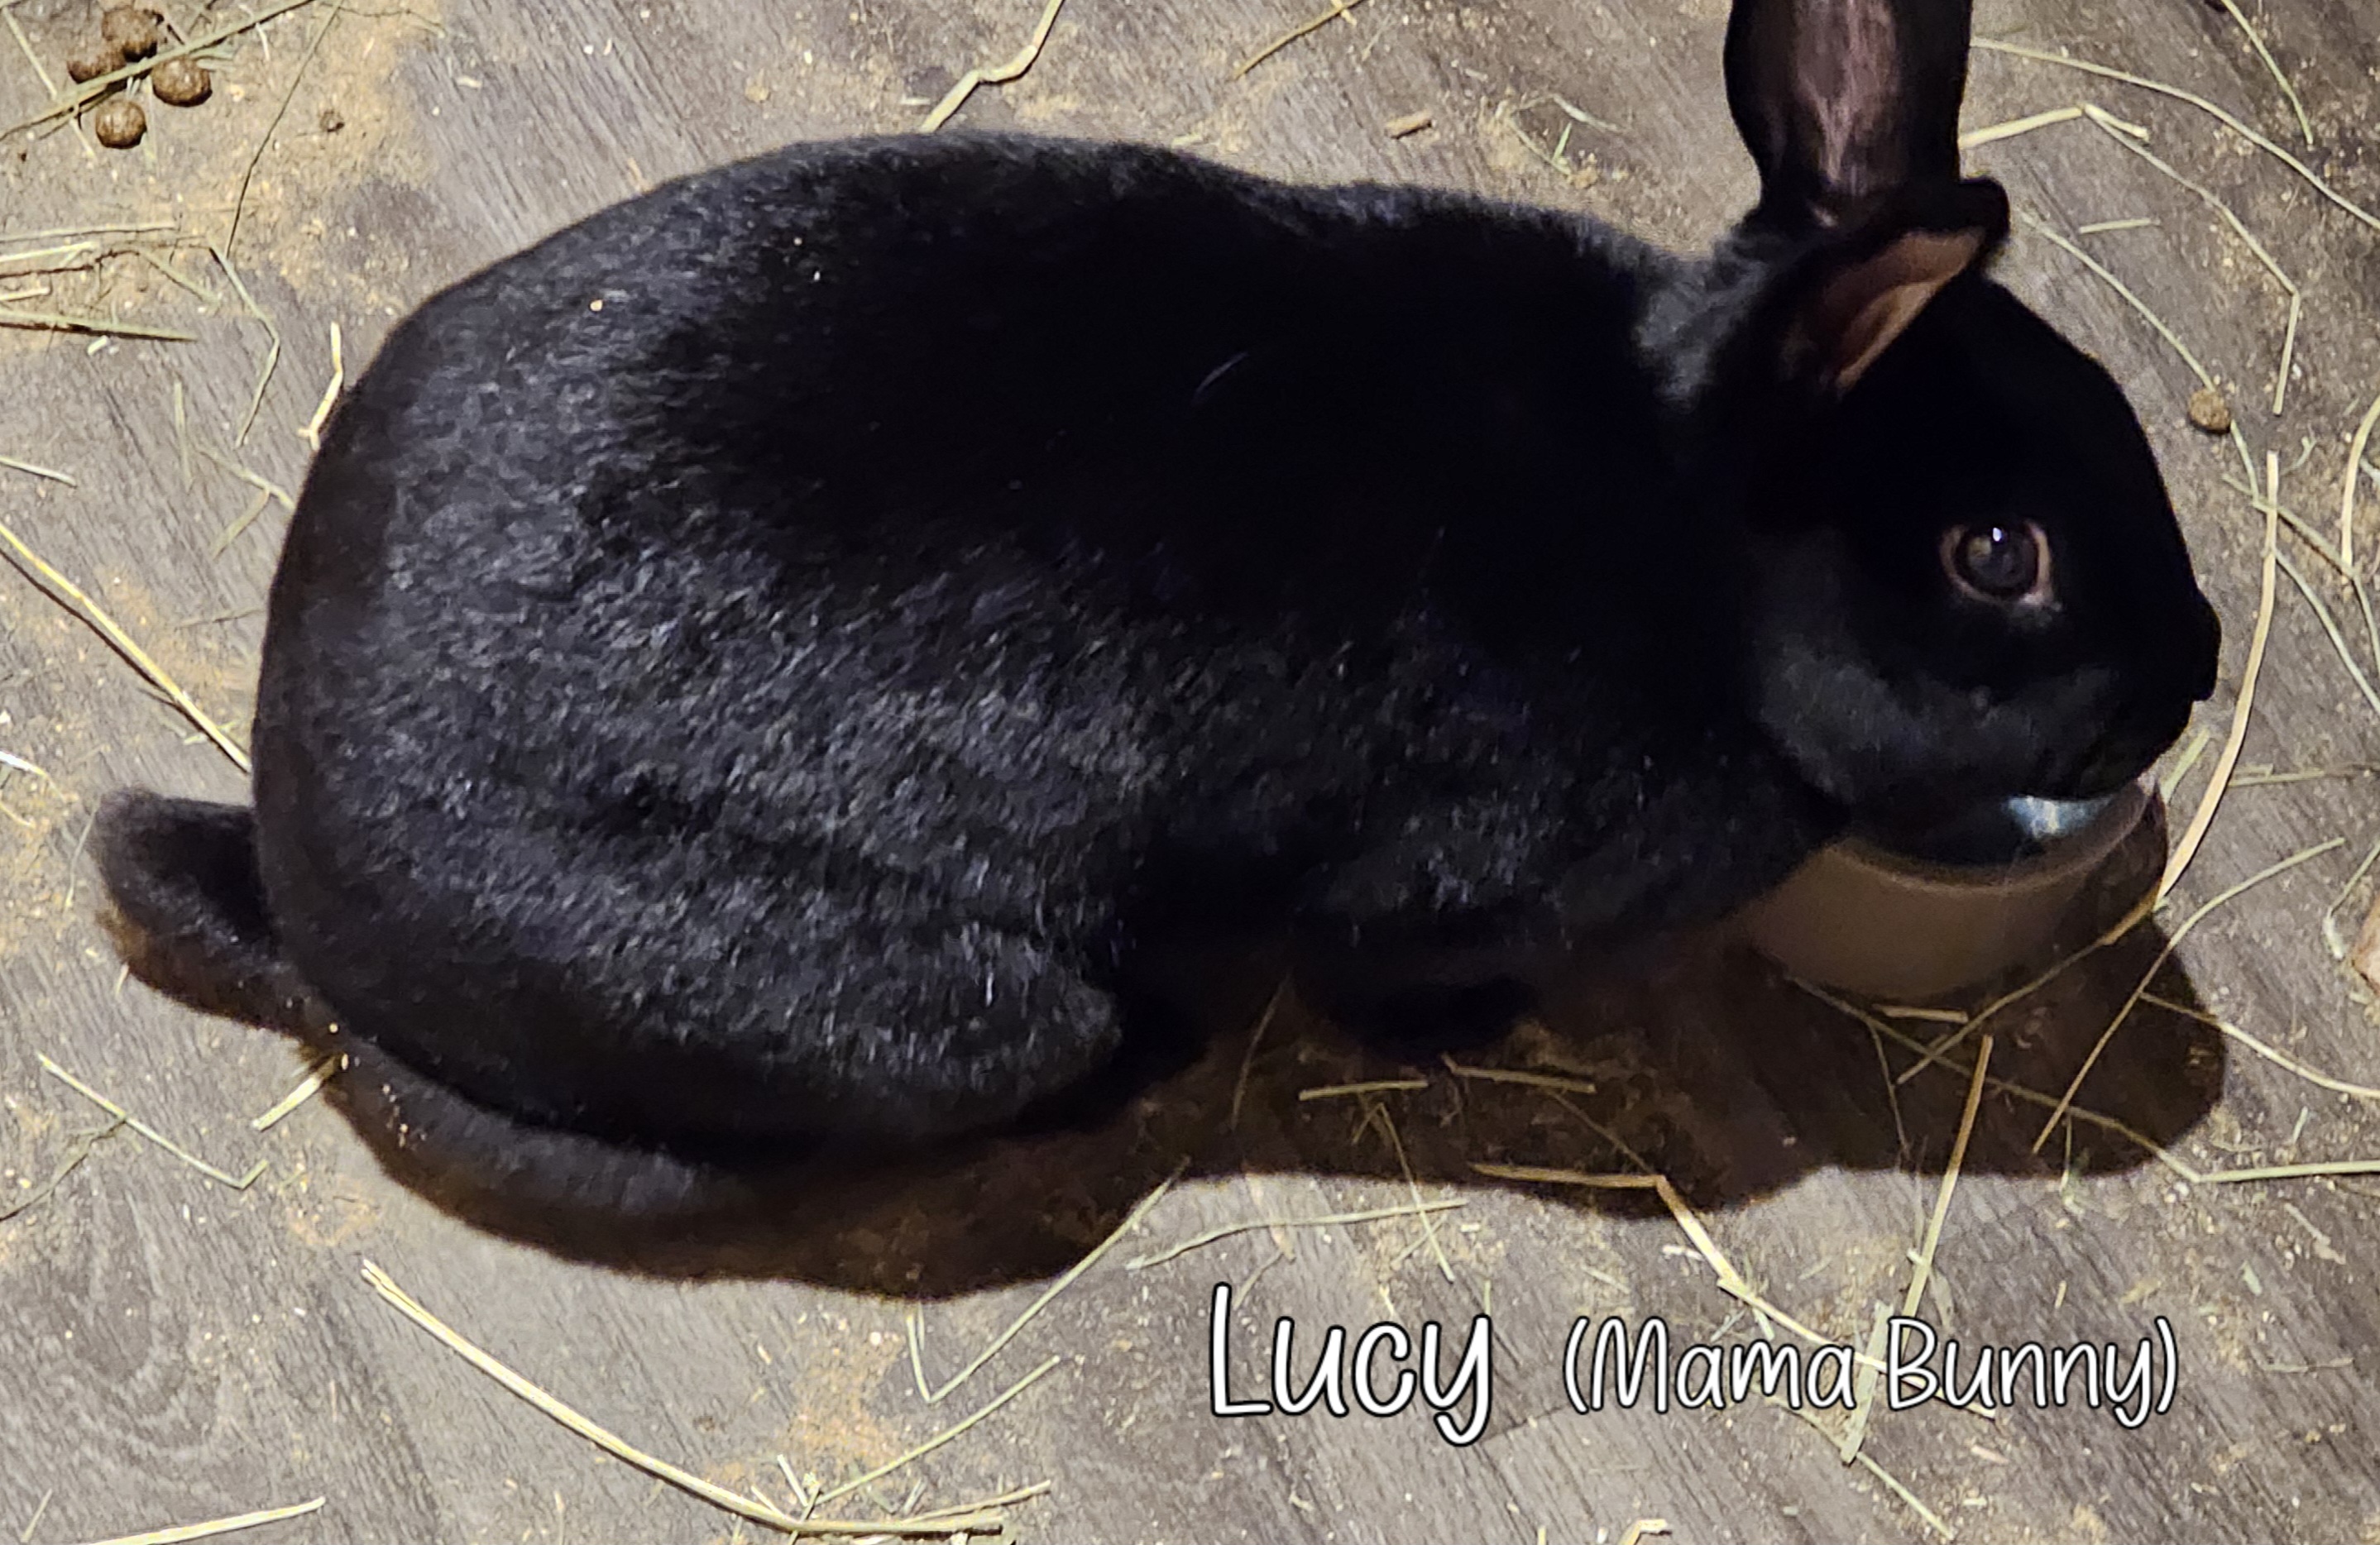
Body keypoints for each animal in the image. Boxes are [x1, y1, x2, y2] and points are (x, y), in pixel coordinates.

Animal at [94, 0, 2220, 1212]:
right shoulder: (1430, 882)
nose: (2190, 668)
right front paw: (1471, 1032)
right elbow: (1395, 968)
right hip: (952, 1009)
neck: (1687, 531)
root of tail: (298, 847)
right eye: (1998, 556)